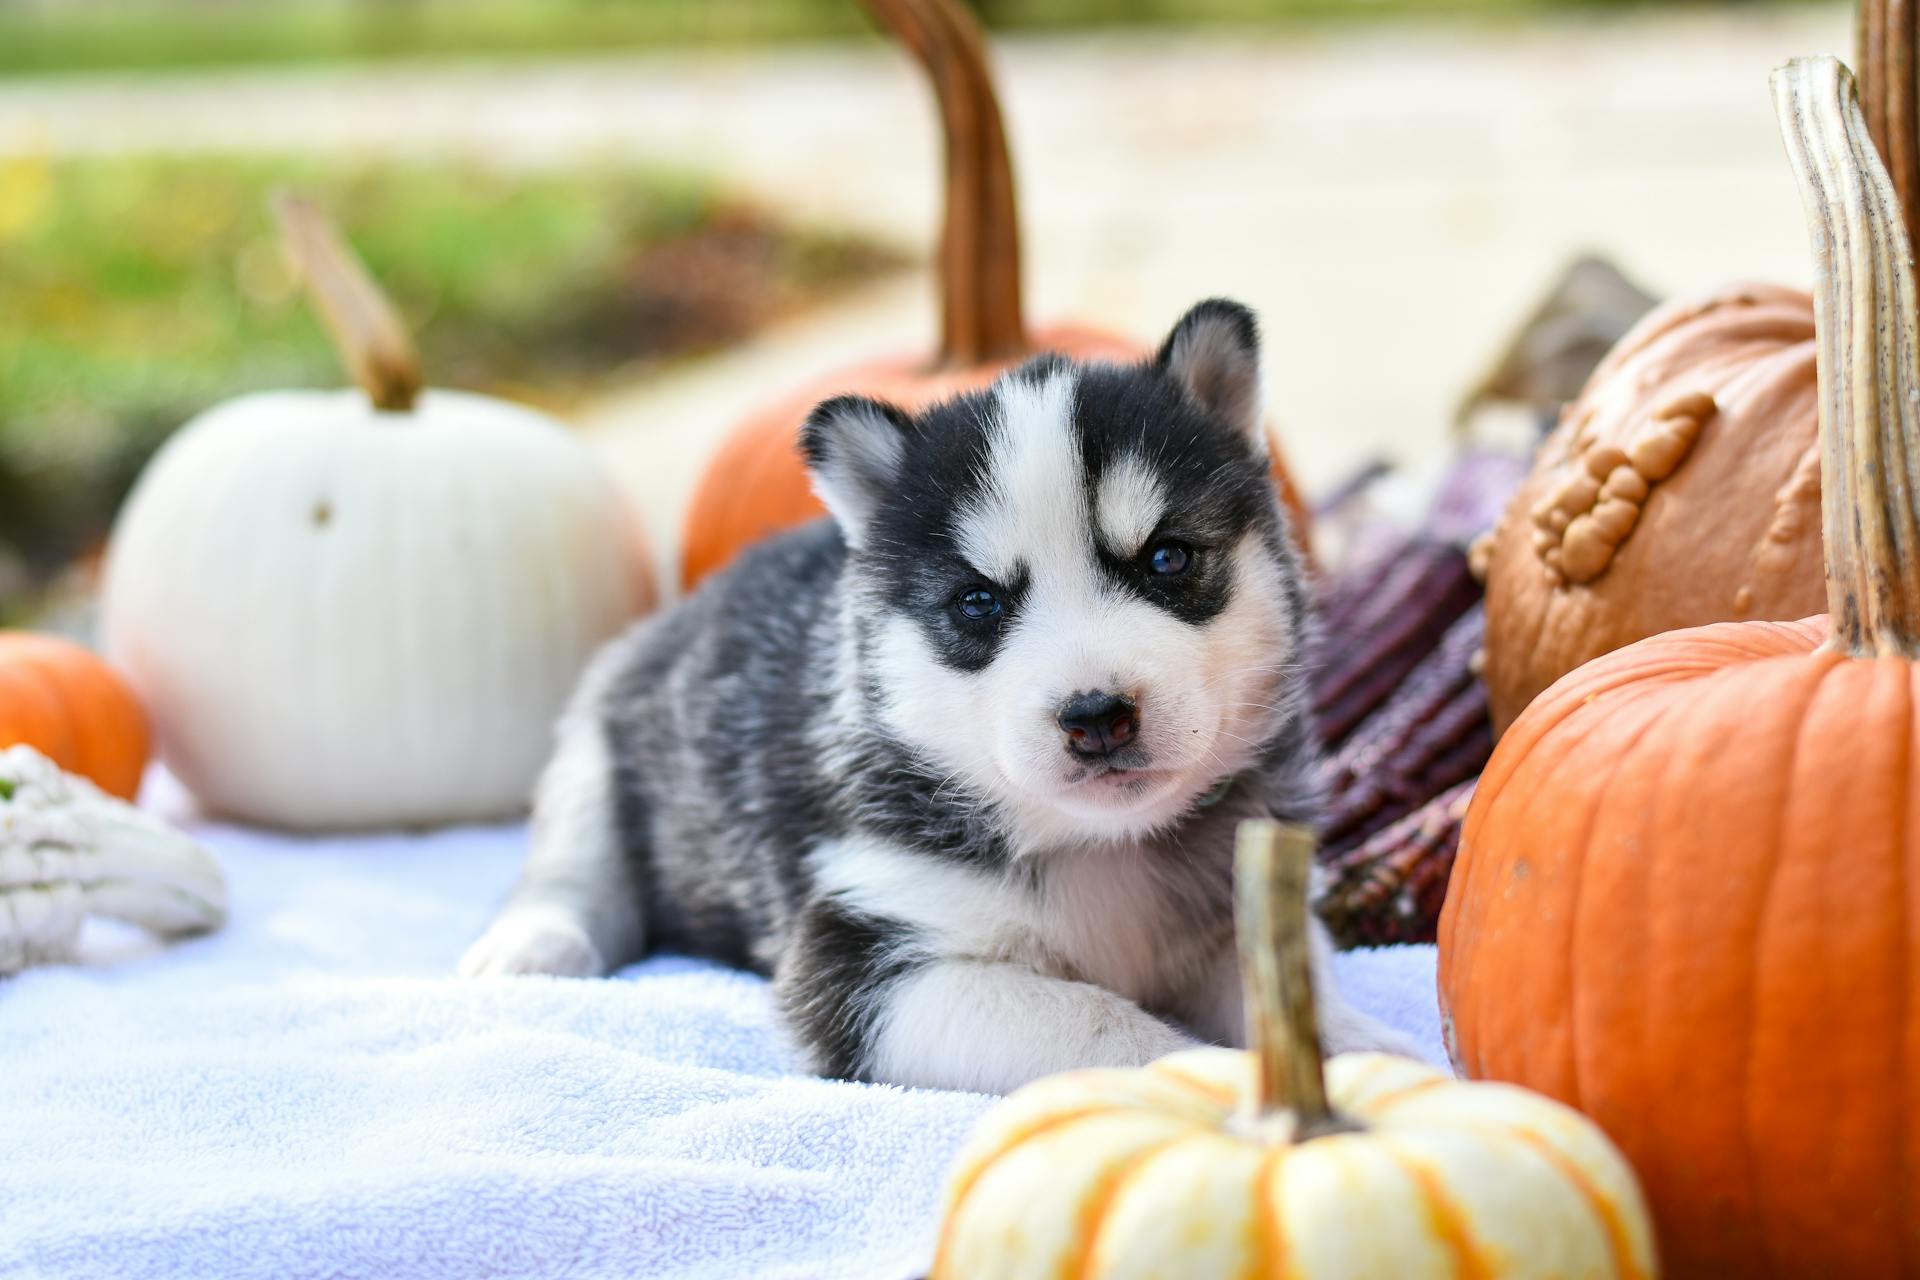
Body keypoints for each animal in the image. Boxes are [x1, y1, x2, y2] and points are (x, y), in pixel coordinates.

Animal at [462, 301, 1420, 1090]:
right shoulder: (871, 960)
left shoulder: (1239, 893)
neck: (1099, 849)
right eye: (978, 603)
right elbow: (1095, 1023)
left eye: (1167, 558)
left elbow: (1290, 978)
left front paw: (1355, 1045)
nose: (1096, 717)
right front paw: (1205, 1074)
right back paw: (530, 944)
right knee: (574, 865)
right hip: (599, 742)